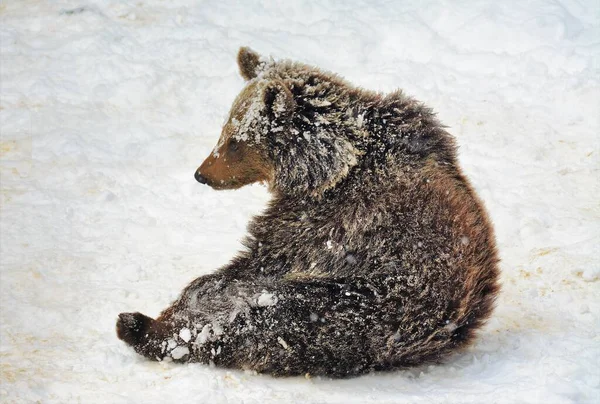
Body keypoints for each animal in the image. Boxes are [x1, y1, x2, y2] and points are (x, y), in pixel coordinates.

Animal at [115, 47, 500, 378]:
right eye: (224, 131)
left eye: (235, 142)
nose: (201, 173)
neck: (330, 165)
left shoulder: (333, 220)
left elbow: (258, 259)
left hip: (356, 307)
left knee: (261, 319)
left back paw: (141, 327)